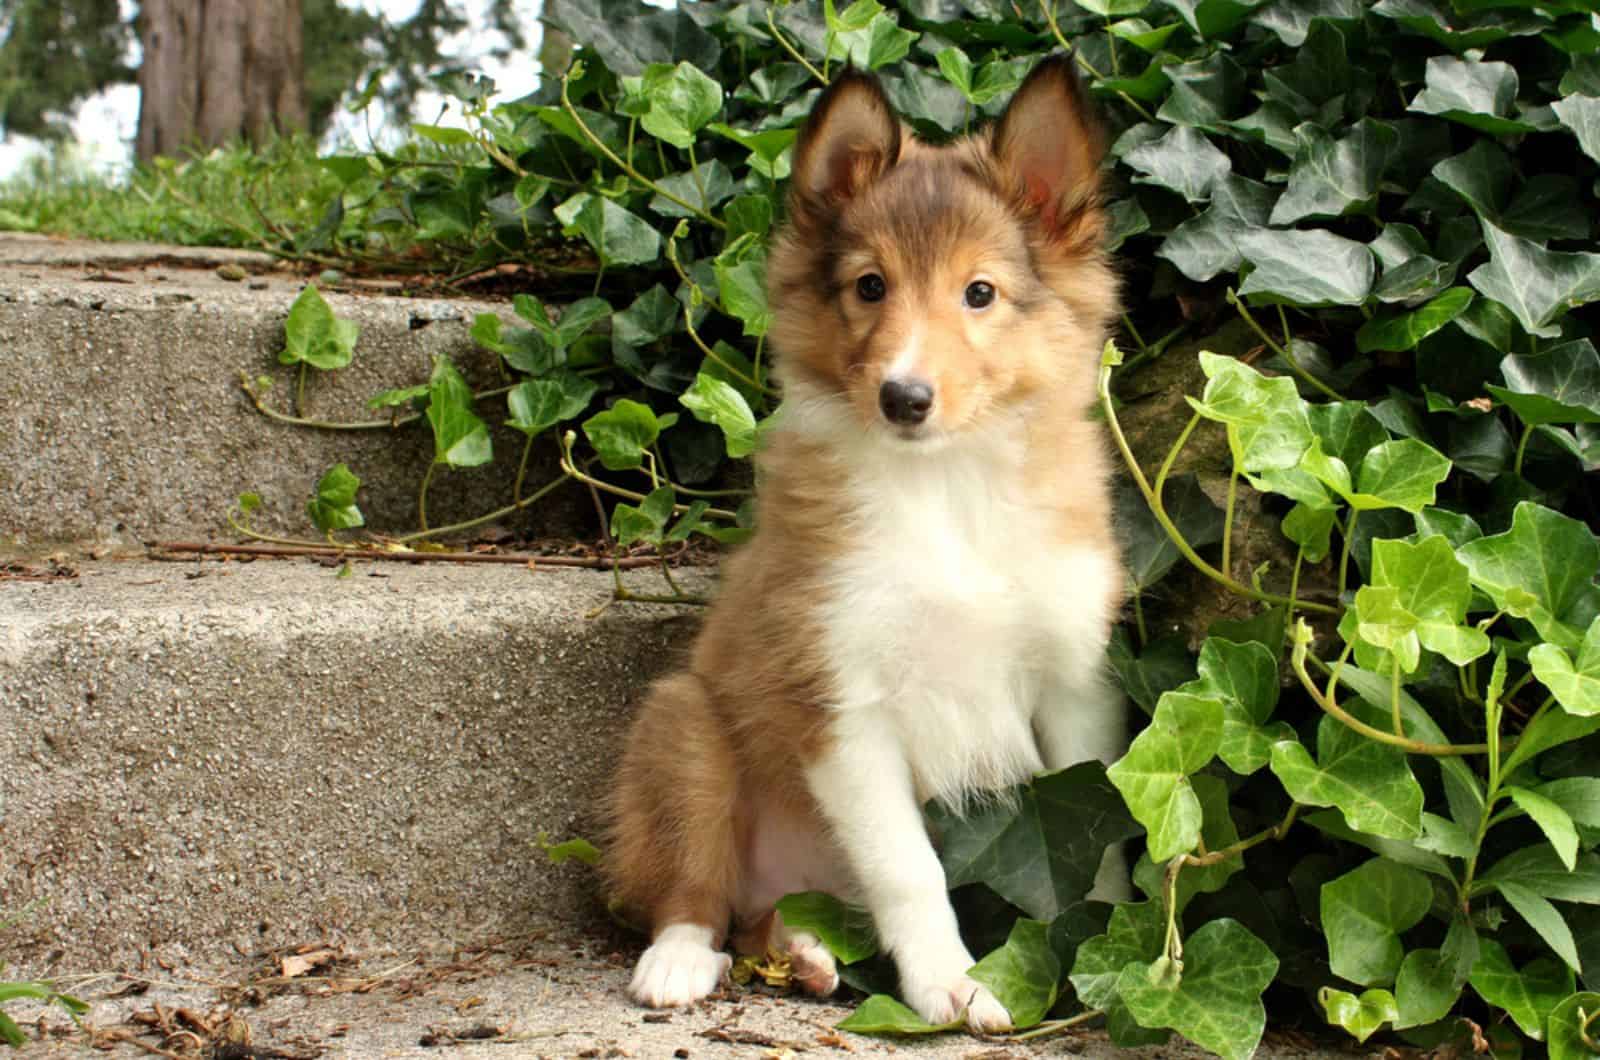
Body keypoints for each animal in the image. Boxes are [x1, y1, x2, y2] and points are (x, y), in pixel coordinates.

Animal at [601, 58, 1126, 1037]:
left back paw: (808, 953)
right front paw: (952, 986)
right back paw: (679, 961)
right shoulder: (840, 701)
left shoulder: (1074, 682)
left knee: (772, 921)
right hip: (685, 730)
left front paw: (1120, 945)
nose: (904, 397)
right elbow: (910, 870)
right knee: (696, 896)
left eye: (979, 293)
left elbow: (1108, 815)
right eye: (869, 287)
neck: (947, 486)